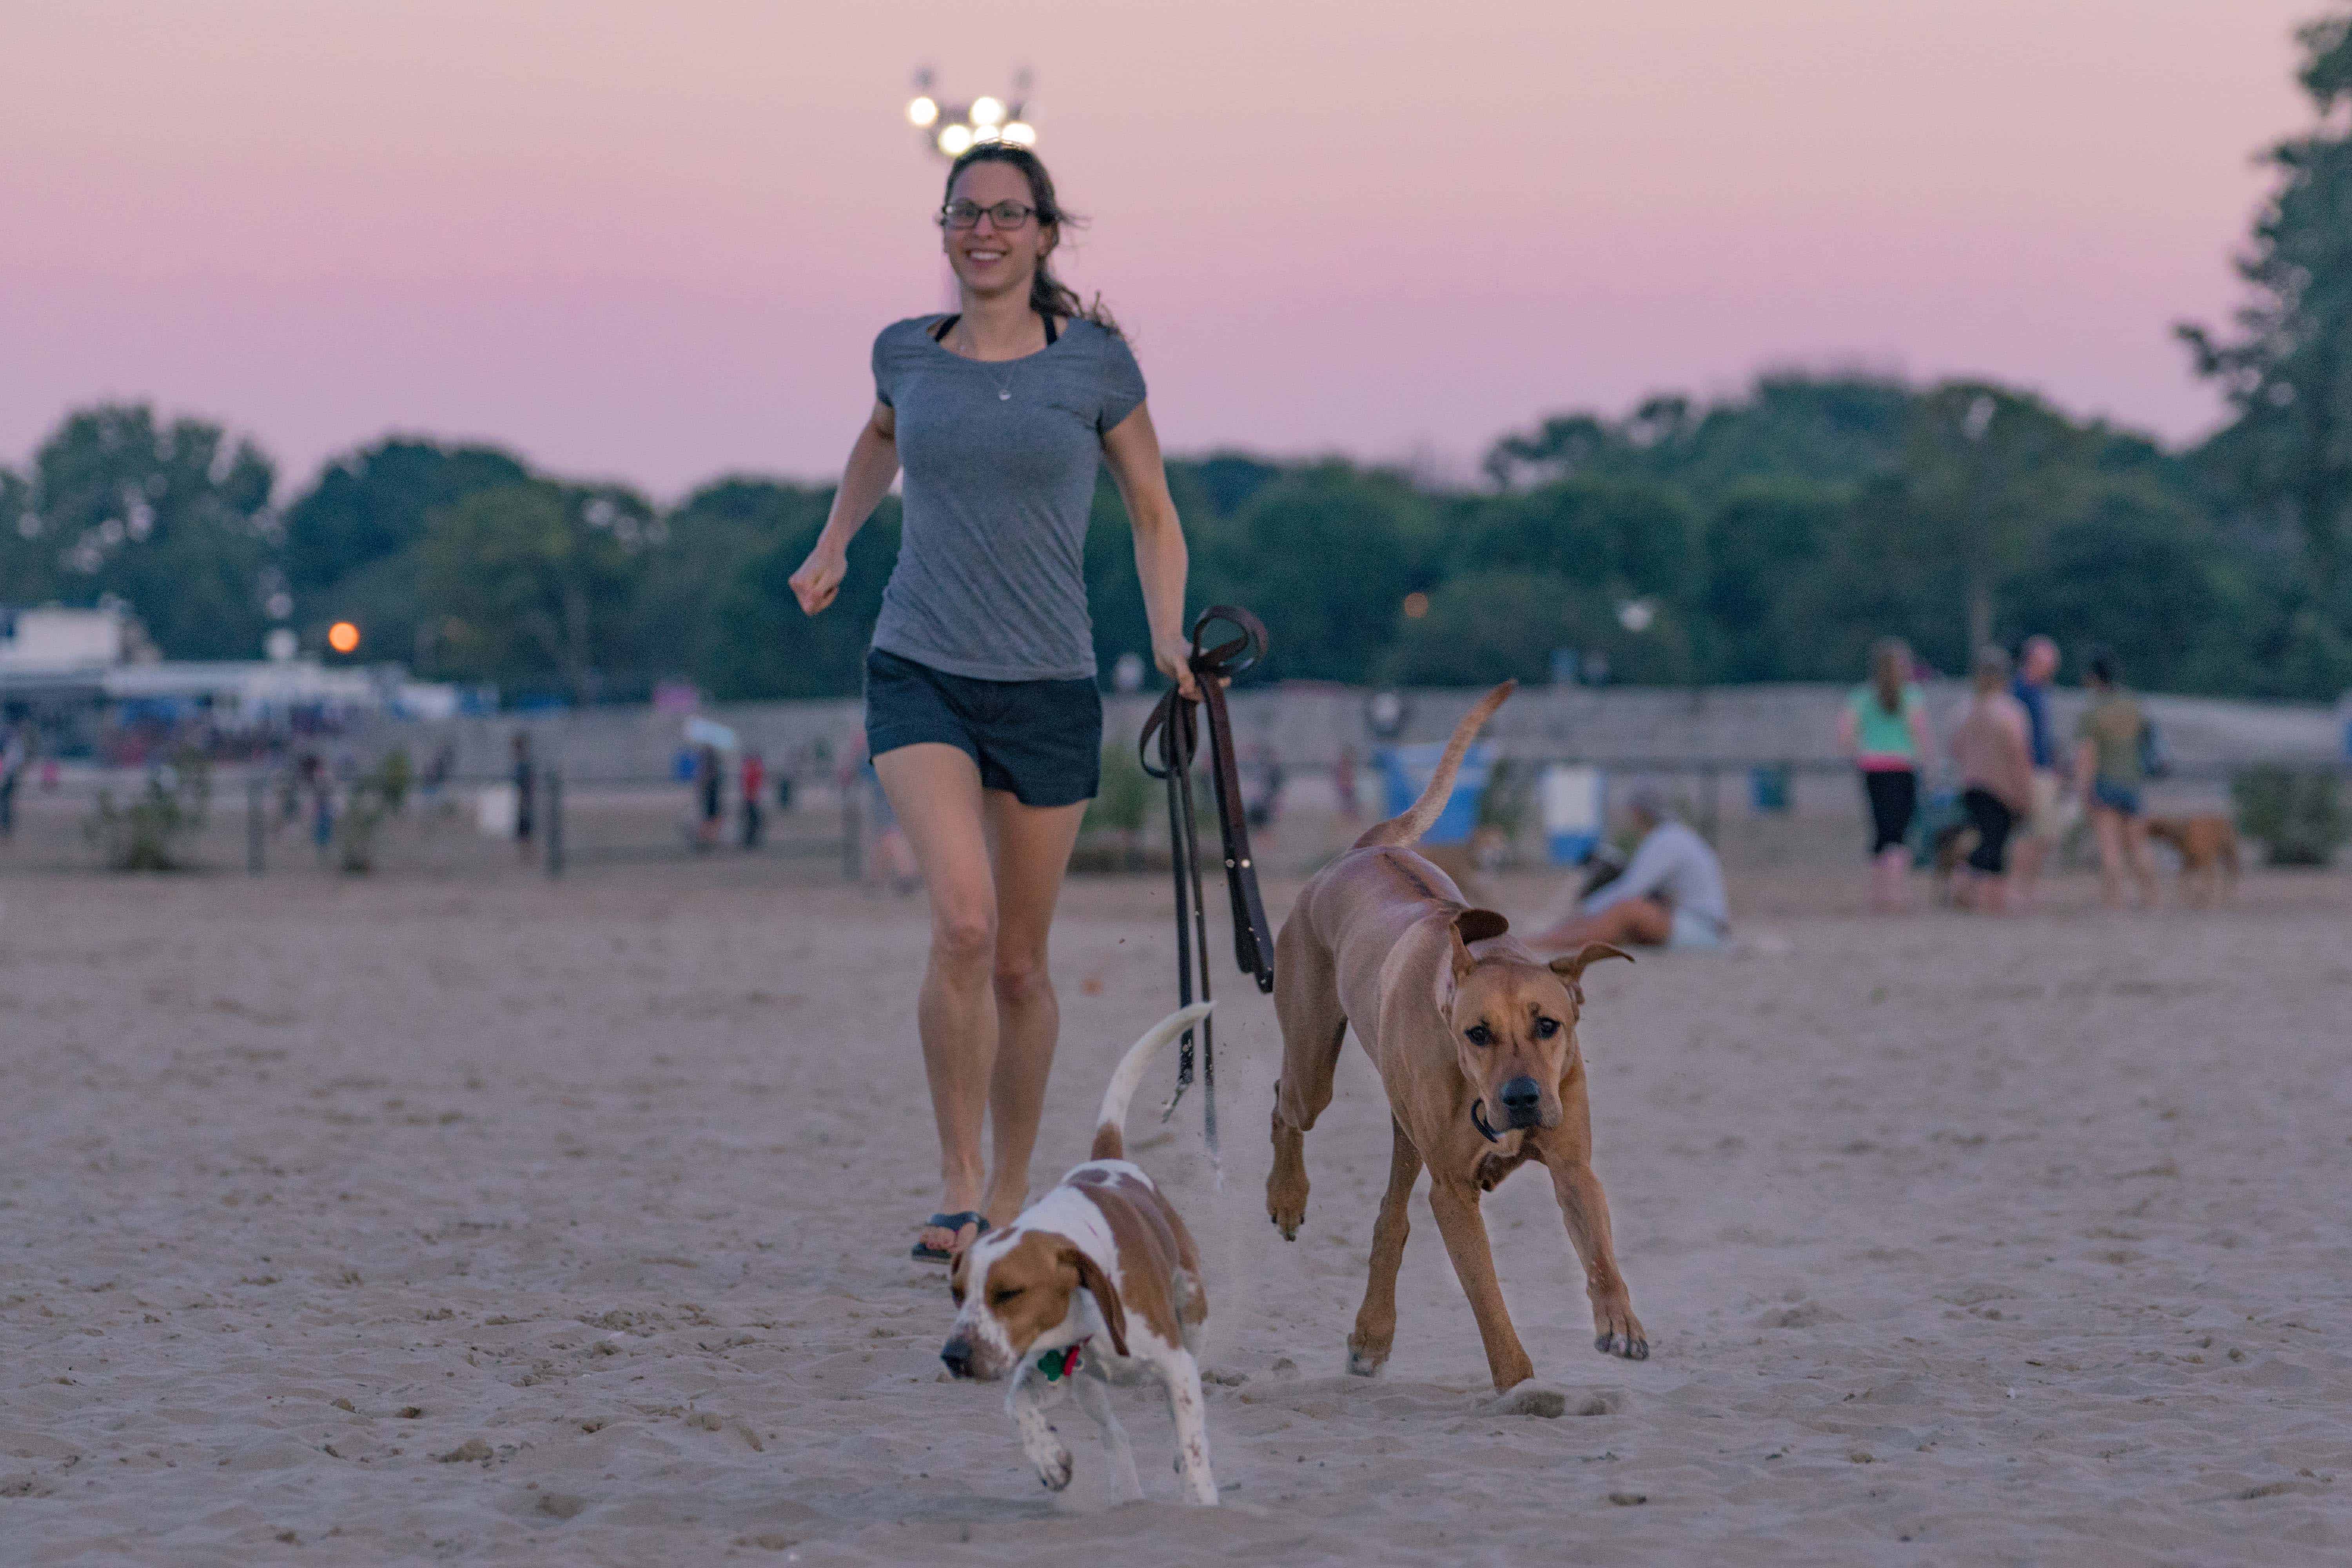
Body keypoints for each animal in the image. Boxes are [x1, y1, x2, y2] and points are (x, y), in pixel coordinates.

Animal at [1261, 682, 1646, 1392]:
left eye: (1549, 1025)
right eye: (1477, 1033)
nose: (1522, 1099)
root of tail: (1361, 848)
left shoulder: (1572, 1161)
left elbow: (1600, 1248)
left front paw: (1620, 1321)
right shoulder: (1454, 1193)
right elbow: (1488, 1298)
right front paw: (1522, 1388)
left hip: (1404, 1117)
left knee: (1390, 1215)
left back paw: (1372, 1333)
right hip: (1312, 1063)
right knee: (1286, 1101)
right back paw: (1287, 1197)